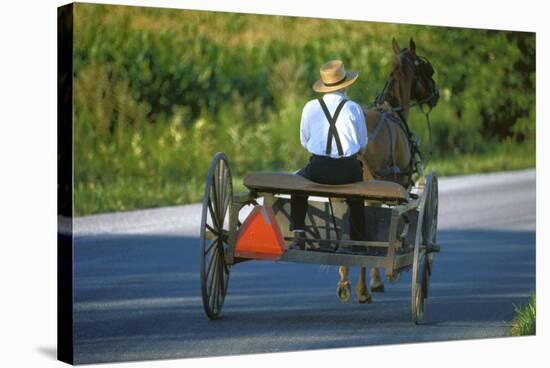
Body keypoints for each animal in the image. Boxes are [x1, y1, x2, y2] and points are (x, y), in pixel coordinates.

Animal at [336, 37, 440, 304]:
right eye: (427, 69)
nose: (435, 95)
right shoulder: (397, 186)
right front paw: (376, 280)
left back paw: (344, 282)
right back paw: (363, 289)